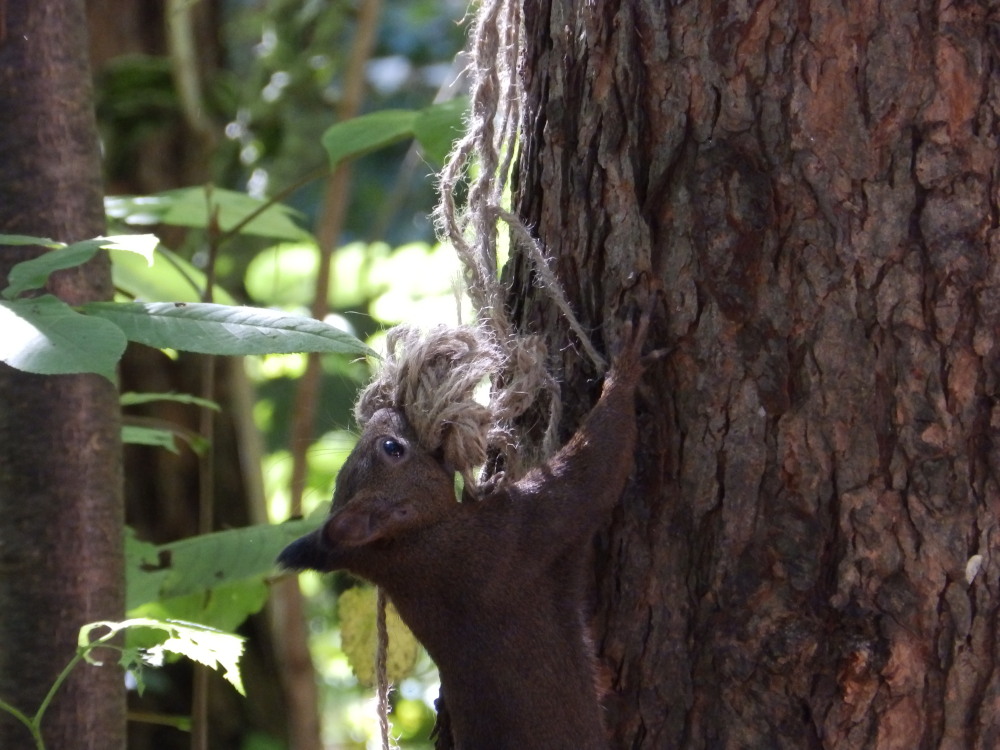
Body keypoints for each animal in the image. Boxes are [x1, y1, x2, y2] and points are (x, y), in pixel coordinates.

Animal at [278, 308, 652, 748]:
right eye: (392, 449)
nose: (391, 410)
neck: (415, 545)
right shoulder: (515, 535)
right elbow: (595, 467)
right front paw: (626, 365)